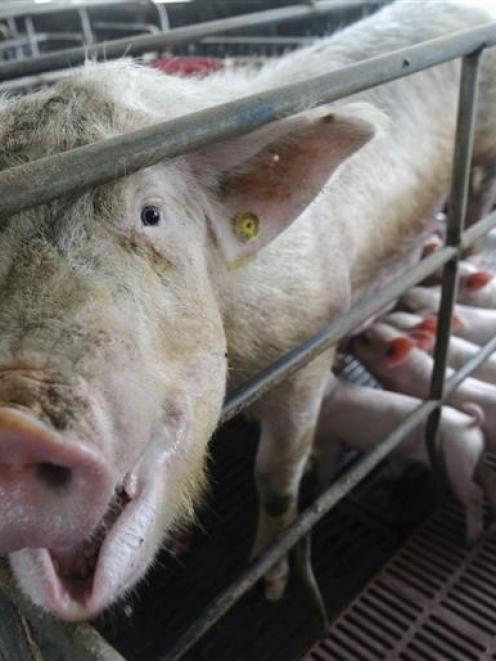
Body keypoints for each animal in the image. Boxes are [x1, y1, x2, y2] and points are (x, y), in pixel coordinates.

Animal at [313, 378, 488, 545]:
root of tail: (470, 423)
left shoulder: (329, 439)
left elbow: (326, 466)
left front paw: (321, 491)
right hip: (471, 455)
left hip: (458, 461)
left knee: (475, 494)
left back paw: (471, 539)